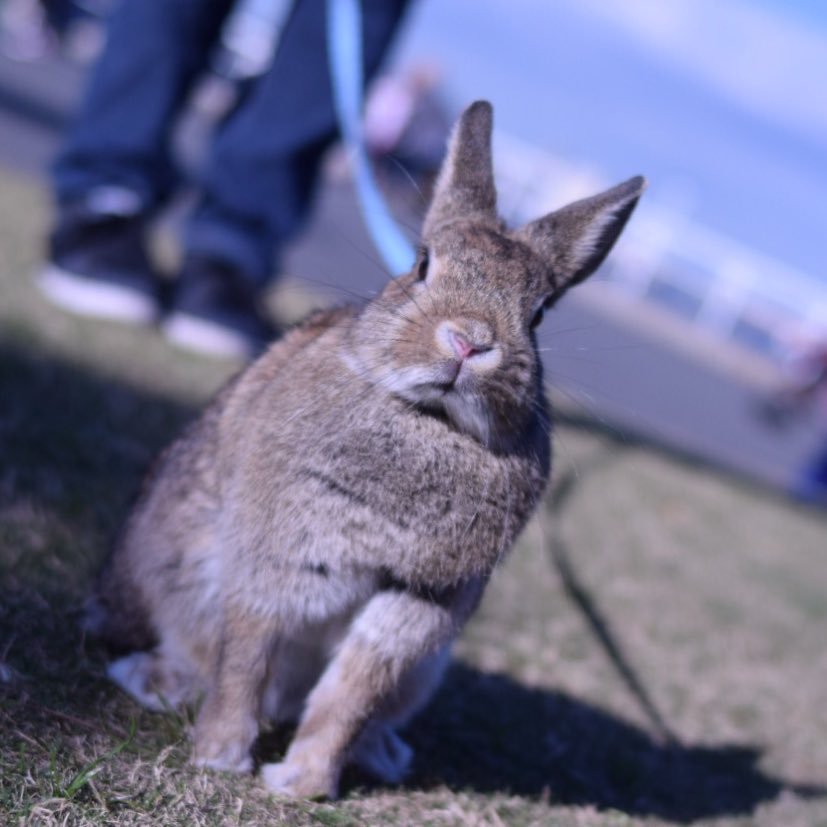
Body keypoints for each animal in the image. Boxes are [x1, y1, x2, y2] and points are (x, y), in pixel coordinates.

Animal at [87, 100, 652, 800]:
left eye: (540, 312)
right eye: (422, 265)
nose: (470, 341)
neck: (428, 419)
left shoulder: (420, 602)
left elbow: (354, 688)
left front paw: (301, 782)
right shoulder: (276, 551)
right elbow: (246, 652)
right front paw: (220, 756)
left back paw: (383, 754)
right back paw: (152, 679)